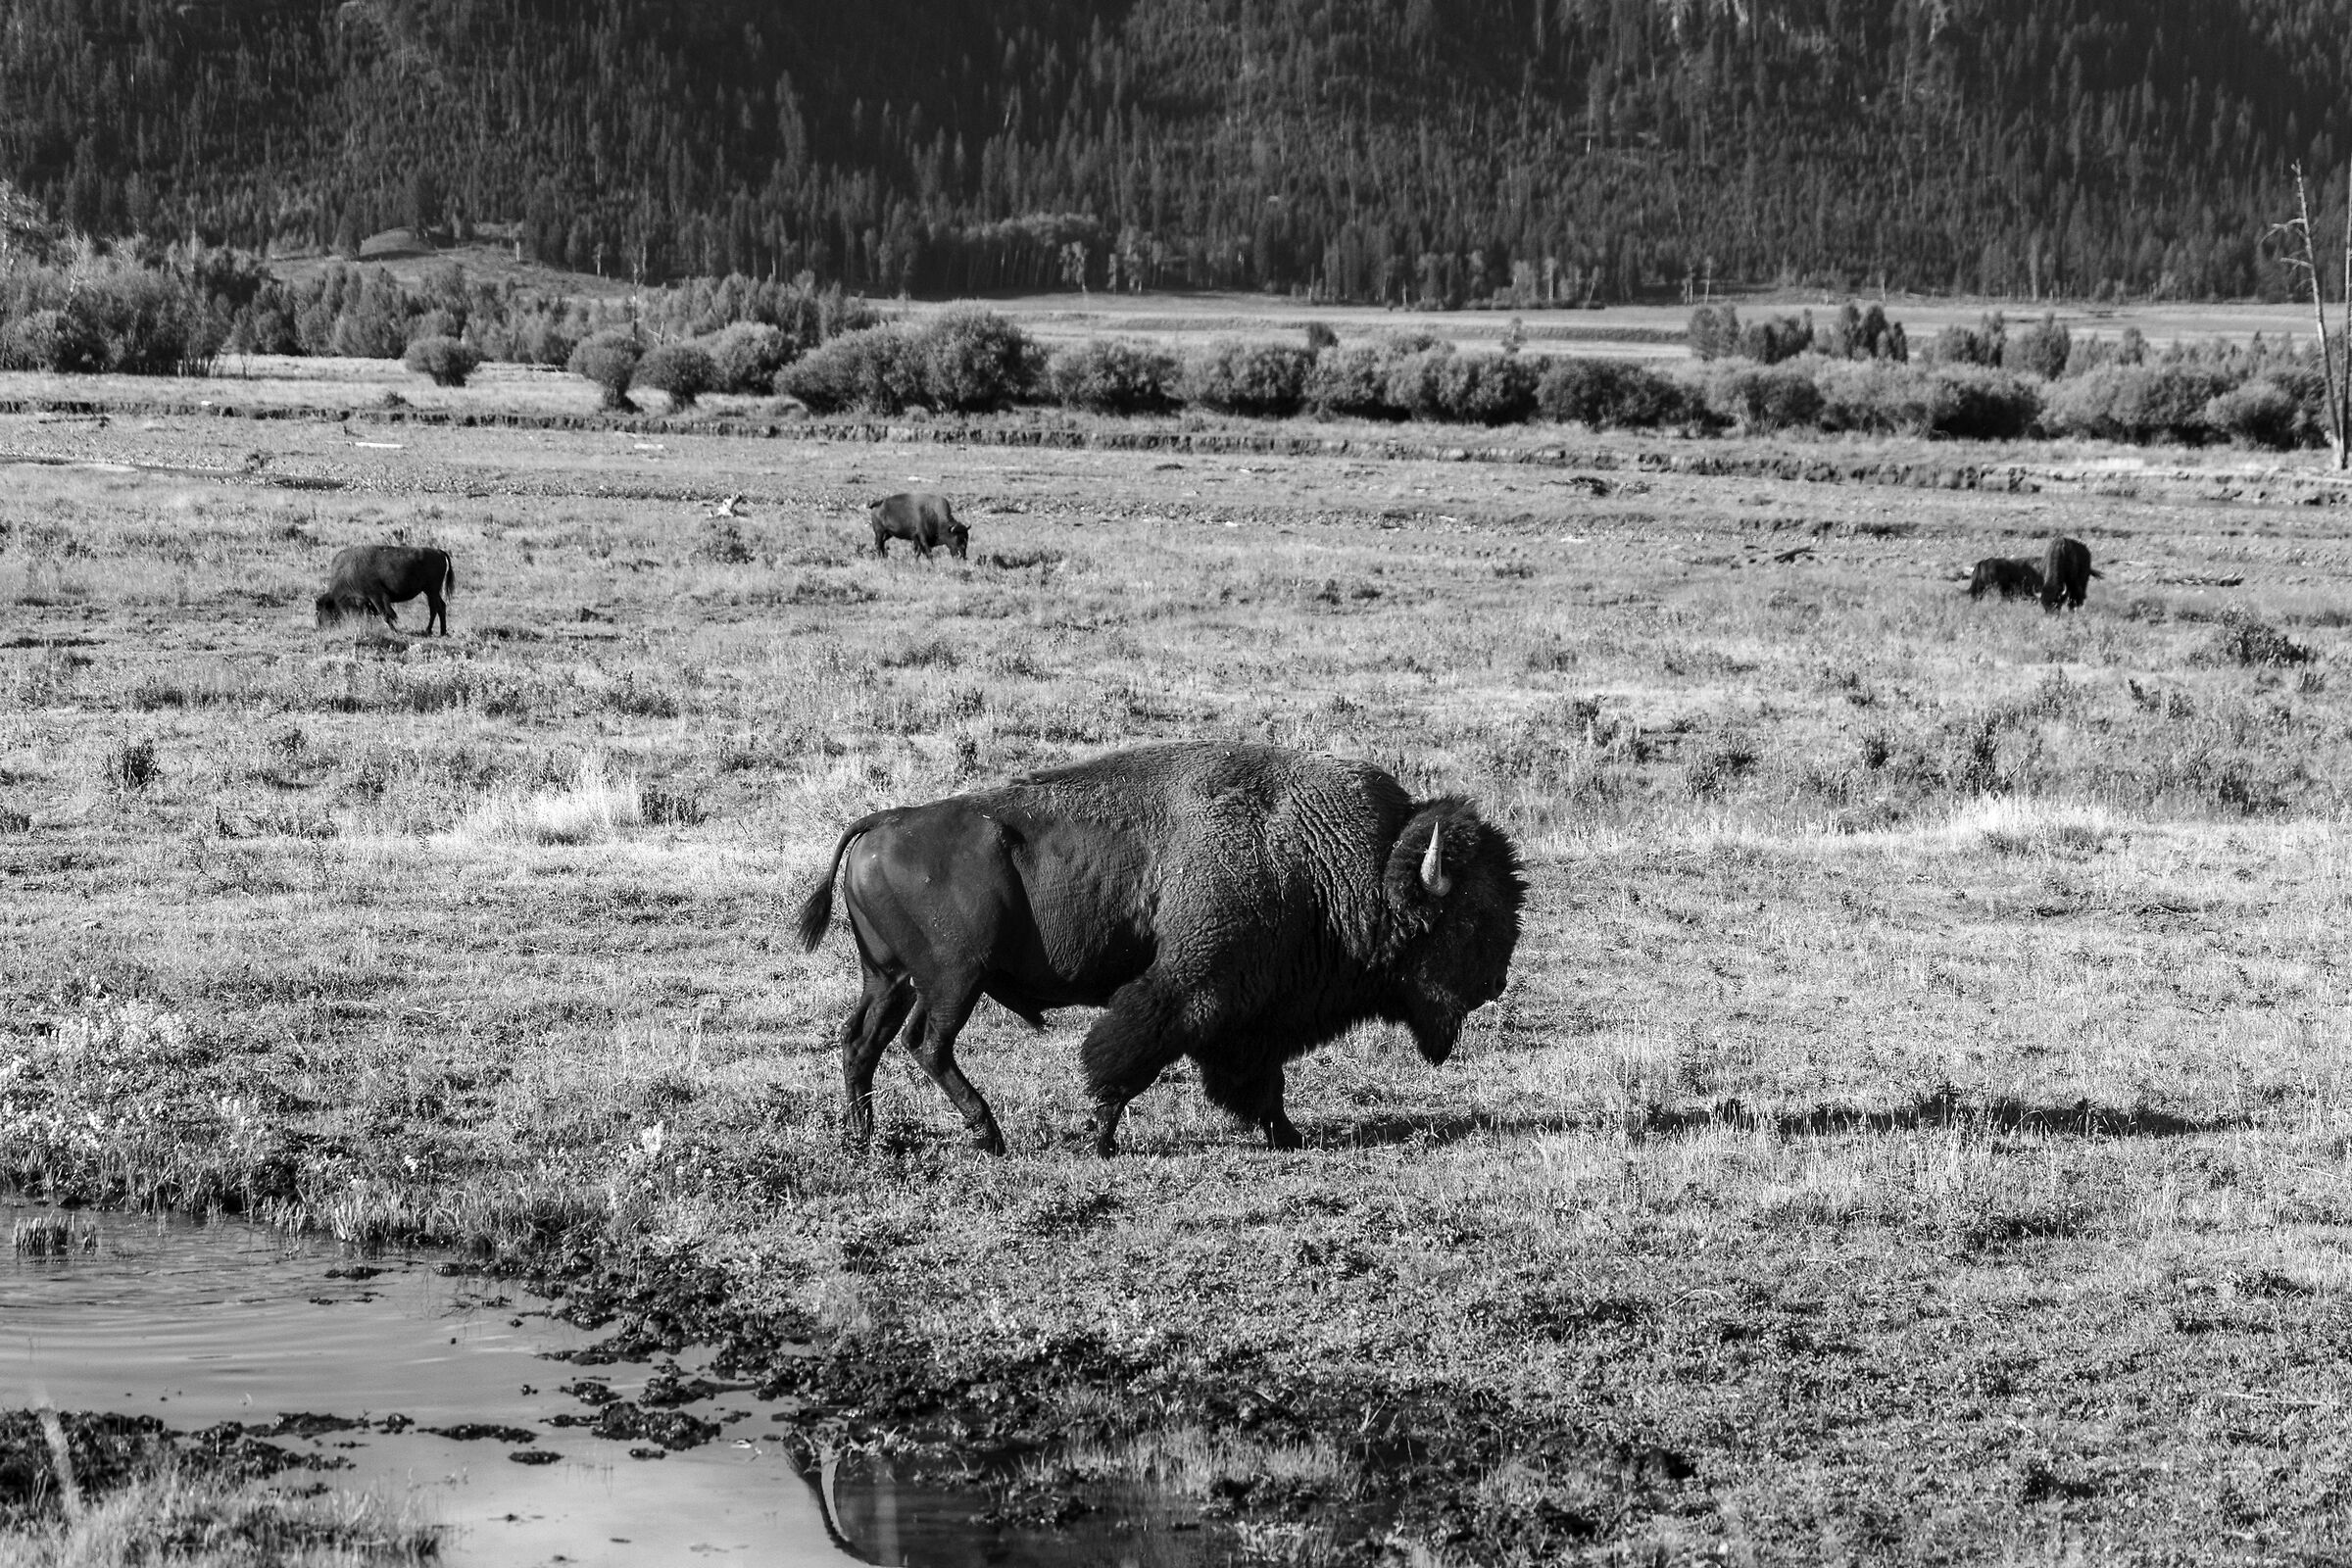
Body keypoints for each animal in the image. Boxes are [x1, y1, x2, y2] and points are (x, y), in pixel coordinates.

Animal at [315, 545, 455, 635]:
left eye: (321, 611)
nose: (321, 628)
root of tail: (438, 552)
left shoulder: (376, 596)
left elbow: (385, 614)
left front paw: (395, 630)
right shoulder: (369, 600)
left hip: (431, 590)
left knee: (436, 608)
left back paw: (430, 630)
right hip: (430, 591)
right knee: (440, 606)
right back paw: (440, 631)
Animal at [795, 742, 1526, 1156]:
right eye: (1472, 916)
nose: (1495, 982)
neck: (1339, 860)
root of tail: (883, 822)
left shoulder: (1253, 1011)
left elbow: (1257, 1078)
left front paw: (1286, 1136)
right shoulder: (1193, 986)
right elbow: (1132, 1052)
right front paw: (1101, 1137)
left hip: (889, 977)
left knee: (862, 1040)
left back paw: (865, 1140)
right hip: (953, 980)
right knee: (926, 1043)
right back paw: (988, 1135)